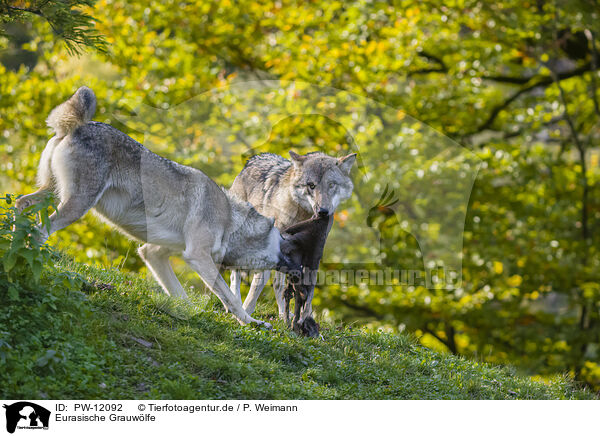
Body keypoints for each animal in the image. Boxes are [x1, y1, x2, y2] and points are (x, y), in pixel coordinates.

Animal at [15, 87, 302, 328]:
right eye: (288, 245)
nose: (300, 270)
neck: (231, 221)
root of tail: (79, 124)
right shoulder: (197, 256)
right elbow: (230, 298)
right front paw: (251, 322)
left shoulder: (153, 253)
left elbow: (180, 294)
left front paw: (189, 314)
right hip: (77, 205)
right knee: (40, 229)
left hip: (54, 195)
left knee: (21, 204)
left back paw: (13, 245)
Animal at [227, 150, 354, 320]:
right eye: (311, 185)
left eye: (331, 185)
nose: (322, 211)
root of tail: (253, 159)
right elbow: (256, 286)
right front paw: (245, 315)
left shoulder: (312, 254)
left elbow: (307, 290)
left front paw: (306, 319)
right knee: (235, 274)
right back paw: (234, 304)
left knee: (278, 284)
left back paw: (282, 315)